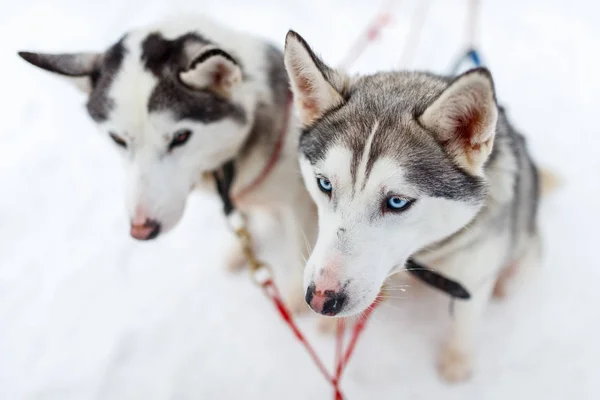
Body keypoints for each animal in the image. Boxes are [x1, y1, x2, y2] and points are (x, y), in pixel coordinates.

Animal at [18, 17, 316, 300]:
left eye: (181, 137)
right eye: (118, 139)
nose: (141, 230)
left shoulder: (298, 202)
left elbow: (301, 246)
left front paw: (296, 300)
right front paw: (241, 251)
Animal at [284, 32, 548, 382]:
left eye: (397, 202)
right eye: (324, 184)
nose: (320, 299)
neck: (423, 255)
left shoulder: (473, 277)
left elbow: (466, 323)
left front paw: (458, 360)